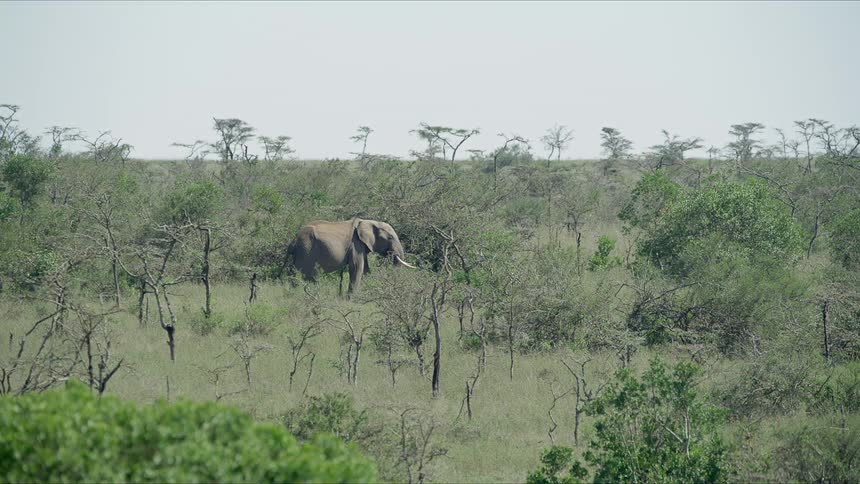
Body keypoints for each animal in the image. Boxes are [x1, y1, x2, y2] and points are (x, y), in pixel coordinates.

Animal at [286, 218, 415, 294]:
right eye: (390, 237)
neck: (370, 222)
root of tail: (293, 241)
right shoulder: (356, 244)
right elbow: (357, 268)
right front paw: (351, 300)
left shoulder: (361, 245)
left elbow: (365, 269)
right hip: (306, 250)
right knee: (305, 275)